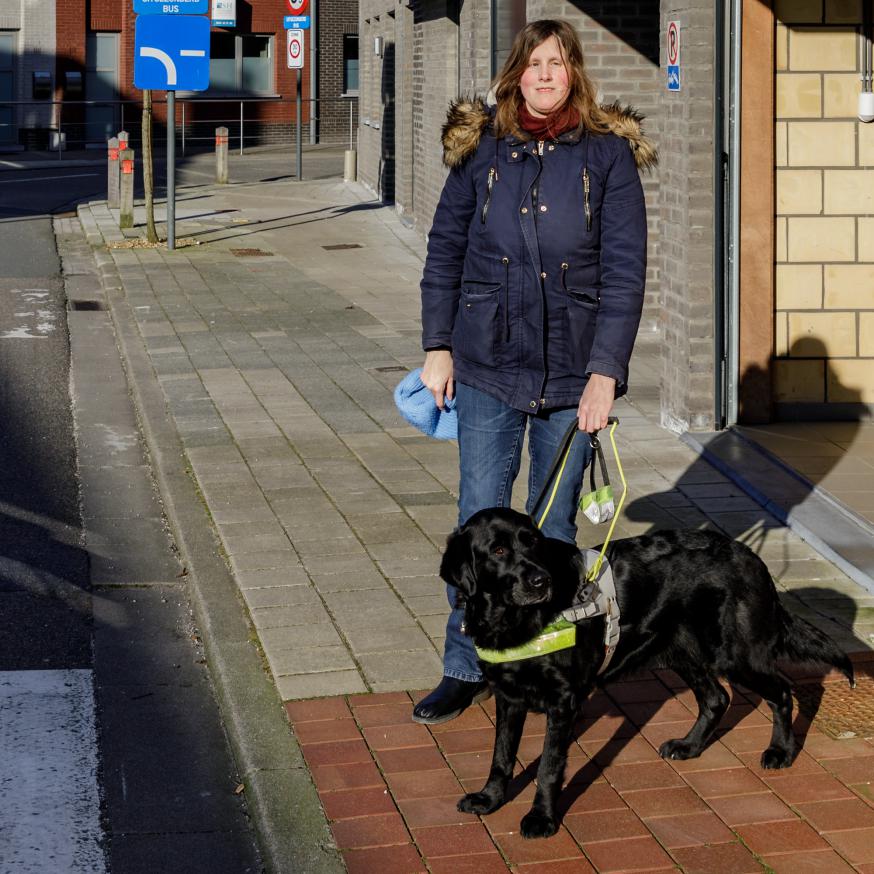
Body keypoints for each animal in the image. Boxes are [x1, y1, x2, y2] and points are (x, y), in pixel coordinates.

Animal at [442, 508, 852, 836]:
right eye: (498, 550)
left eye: (533, 545)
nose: (541, 581)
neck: (513, 619)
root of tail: (754, 558)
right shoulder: (509, 696)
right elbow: (501, 757)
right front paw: (490, 799)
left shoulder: (563, 701)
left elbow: (548, 766)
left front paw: (541, 819)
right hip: (681, 650)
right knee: (717, 698)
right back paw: (689, 746)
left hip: (735, 654)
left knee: (781, 691)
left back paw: (780, 752)